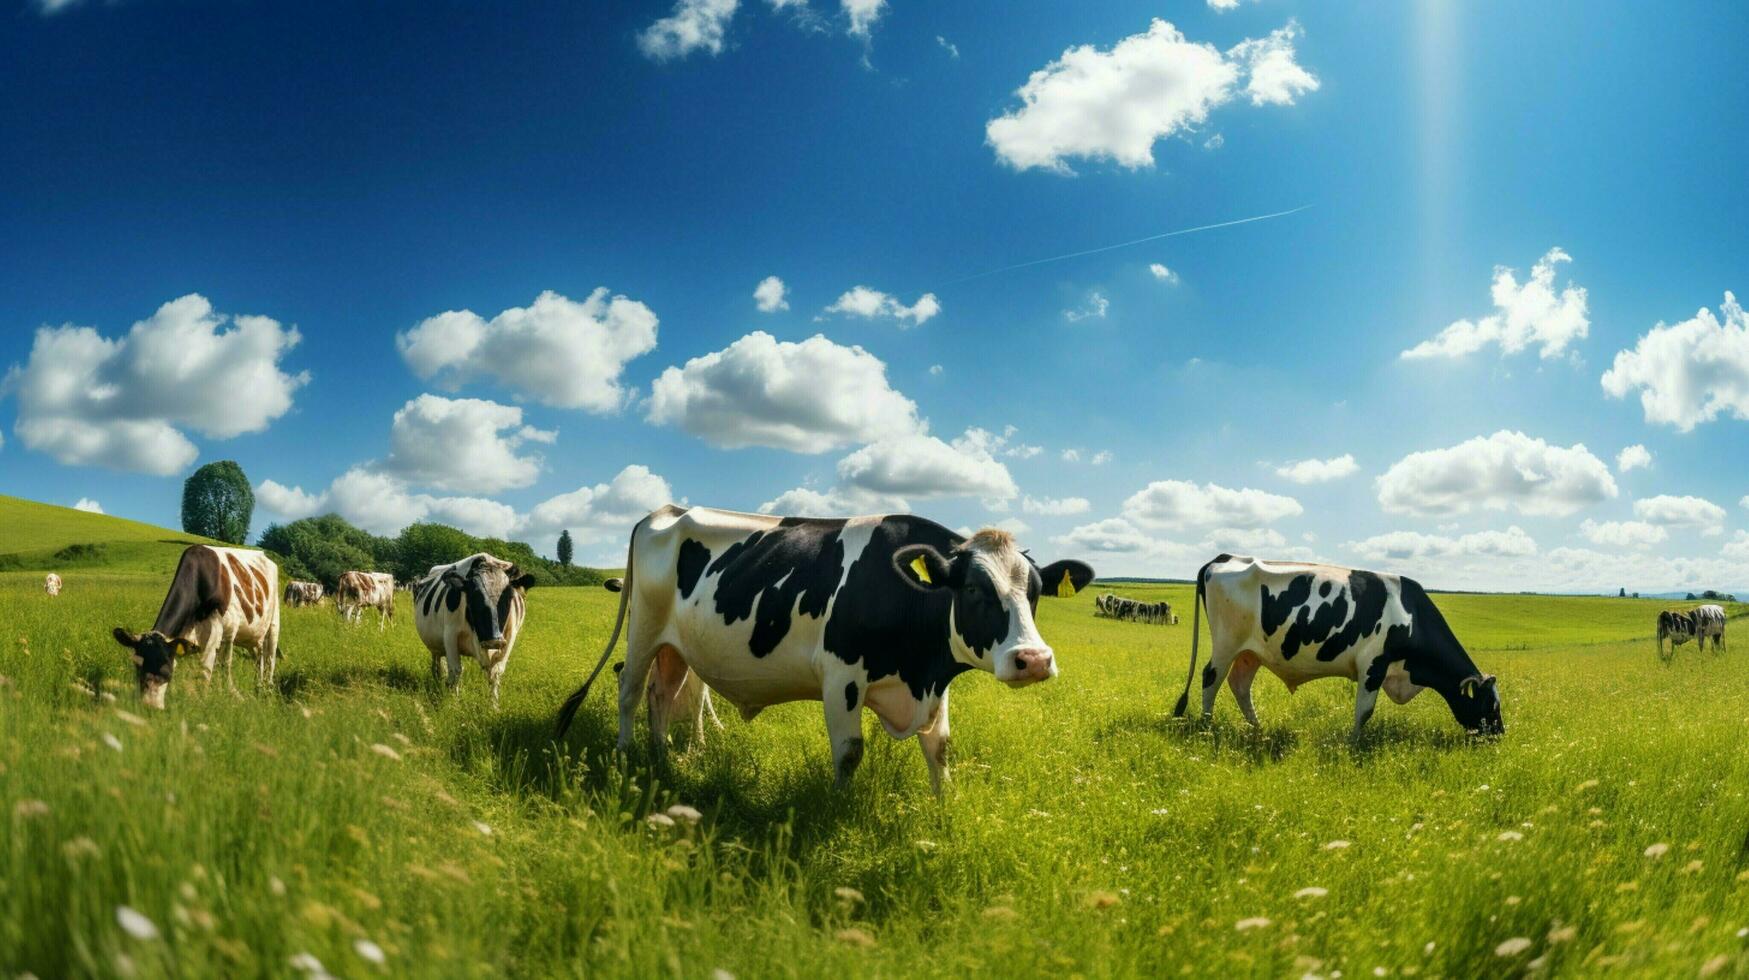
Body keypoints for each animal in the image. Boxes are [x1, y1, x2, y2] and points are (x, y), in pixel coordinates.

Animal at [110, 542, 279, 710]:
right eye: (137, 666)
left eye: (167, 671)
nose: (149, 706)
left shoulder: (223, 629)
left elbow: (210, 669)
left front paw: (206, 701)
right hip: (252, 636)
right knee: (258, 658)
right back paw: (258, 688)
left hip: (273, 623)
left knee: (270, 658)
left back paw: (268, 693)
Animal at [412, 553, 535, 703]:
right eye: (474, 596)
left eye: (509, 596)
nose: (494, 641)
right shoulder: (450, 634)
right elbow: (456, 670)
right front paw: (453, 702)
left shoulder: (510, 637)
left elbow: (496, 672)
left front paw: (494, 704)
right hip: (435, 644)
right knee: (437, 663)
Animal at [552, 504, 1091, 798]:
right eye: (976, 590)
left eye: (1036, 591)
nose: (1034, 660)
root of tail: (663, 511)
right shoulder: (842, 677)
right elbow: (850, 753)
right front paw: (838, 808)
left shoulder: (932, 684)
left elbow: (940, 749)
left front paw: (947, 809)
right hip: (643, 627)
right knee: (629, 689)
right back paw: (626, 757)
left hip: (676, 646)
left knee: (662, 695)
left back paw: (664, 761)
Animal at [1168, 553, 1497, 735]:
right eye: (1490, 704)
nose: (1499, 734)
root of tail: (1225, 557)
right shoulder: (1373, 666)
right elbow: (1364, 712)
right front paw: (1353, 744)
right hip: (1226, 645)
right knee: (1211, 678)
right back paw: (1208, 727)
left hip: (1251, 653)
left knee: (1239, 685)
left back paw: (1258, 728)